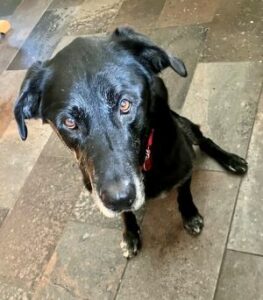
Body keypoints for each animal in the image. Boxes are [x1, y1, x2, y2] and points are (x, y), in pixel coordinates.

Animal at [13, 27, 250, 258]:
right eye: (69, 122)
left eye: (125, 104)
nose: (119, 199)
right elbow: (127, 214)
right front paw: (130, 233)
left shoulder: (184, 167)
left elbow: (184, 192)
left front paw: (190, 214)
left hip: (186, 128)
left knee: (203, 138)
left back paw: (231, 160)